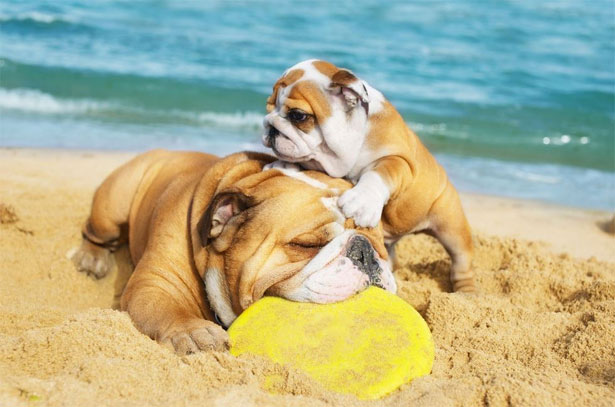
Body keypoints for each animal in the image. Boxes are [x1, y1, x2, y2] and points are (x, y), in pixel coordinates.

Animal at [72, 149, 394, 354]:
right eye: (306, 245)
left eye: (381, 244)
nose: (365, 251)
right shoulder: (155, 283)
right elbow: (166, 309)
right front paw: (193, 331)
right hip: (112, 210)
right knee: (95, 230)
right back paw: (91, 258)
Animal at [262, 59, 474, 292]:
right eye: (268, 107)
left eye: (298, 116)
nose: (269, 125)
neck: (358, 137)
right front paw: (280, 164)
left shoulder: (398, 160)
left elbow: (378, 174)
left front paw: (361, 201)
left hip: (450, 224)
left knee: (461, 260)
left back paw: (467, 292)